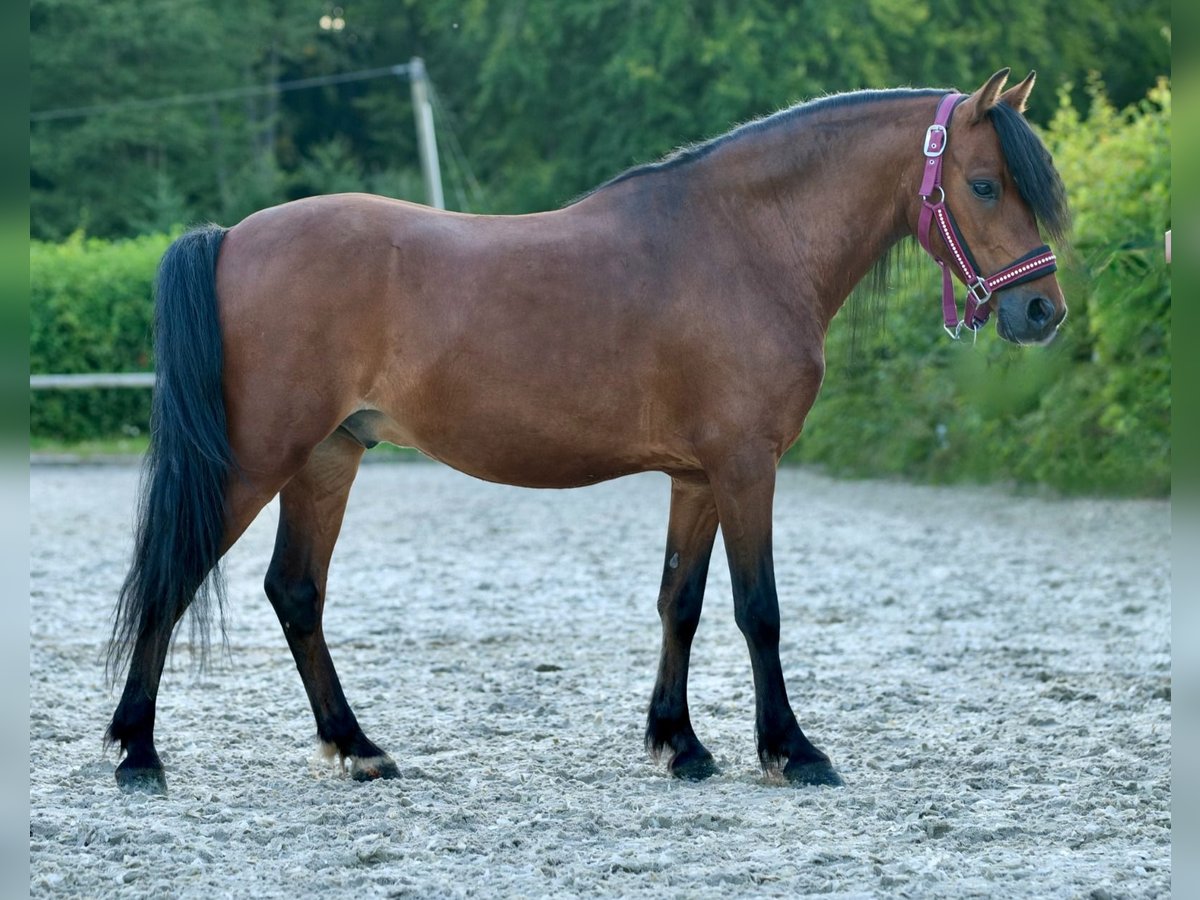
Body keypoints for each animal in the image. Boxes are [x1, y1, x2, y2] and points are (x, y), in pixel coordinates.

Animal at [108, 66, 1075, 792]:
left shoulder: (697, 477)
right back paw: (138, 753)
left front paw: (679, 744)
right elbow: (757, 609)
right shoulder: (746, 467)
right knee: (174, 574)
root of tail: (233, 237)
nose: (1041, 311)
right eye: (984, 184)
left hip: (328, 458)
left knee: (295, 593)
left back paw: (358, 747)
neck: (746, 242)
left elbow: (680, 603)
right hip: (258, 459)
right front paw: (791, 751)